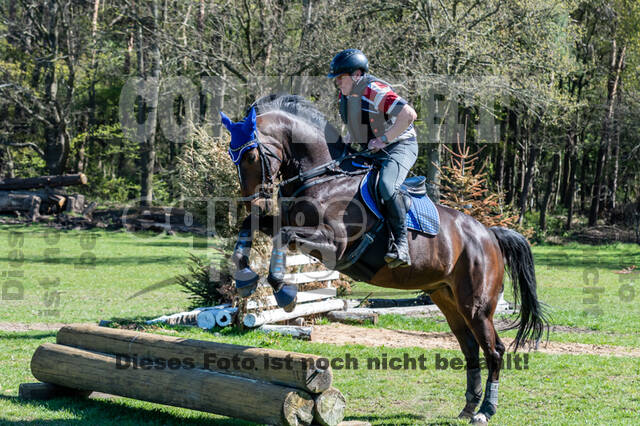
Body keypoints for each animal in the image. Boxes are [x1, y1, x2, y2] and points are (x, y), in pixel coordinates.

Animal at [222, 95, 548, 424]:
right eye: (232, 157)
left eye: (250, 155)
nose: (252, 201)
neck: (324, 177)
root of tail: (489, 234)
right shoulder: (286, 222)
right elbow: (251, 225)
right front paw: (245, 278)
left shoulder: (333, 244)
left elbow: (281, 235)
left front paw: (284, 291)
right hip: (447, 299)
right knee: (469, 348)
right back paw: (469, 406)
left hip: (477, 306)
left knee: (494, 351)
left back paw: (485, 411)